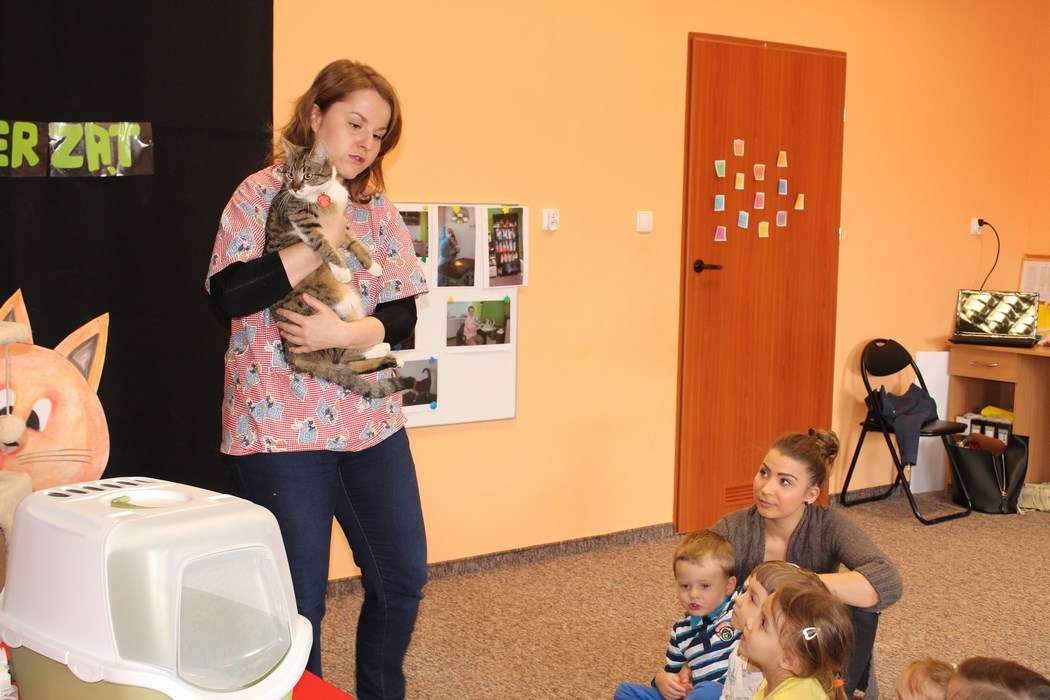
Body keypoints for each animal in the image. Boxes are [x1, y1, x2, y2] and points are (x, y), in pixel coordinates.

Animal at [265, 140, 414, 400]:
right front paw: (342, 269)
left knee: (347, 361)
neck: (324, 193)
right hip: (336, 308)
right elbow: (323, 243)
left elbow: (354, 241)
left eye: (307, 174)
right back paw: (380, 349)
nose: (295, 188)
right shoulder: (302, 217)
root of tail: (292, 355)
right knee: (342, 354)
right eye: (290, 174)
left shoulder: (341, 224)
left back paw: (388, 356)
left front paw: (373, 265)